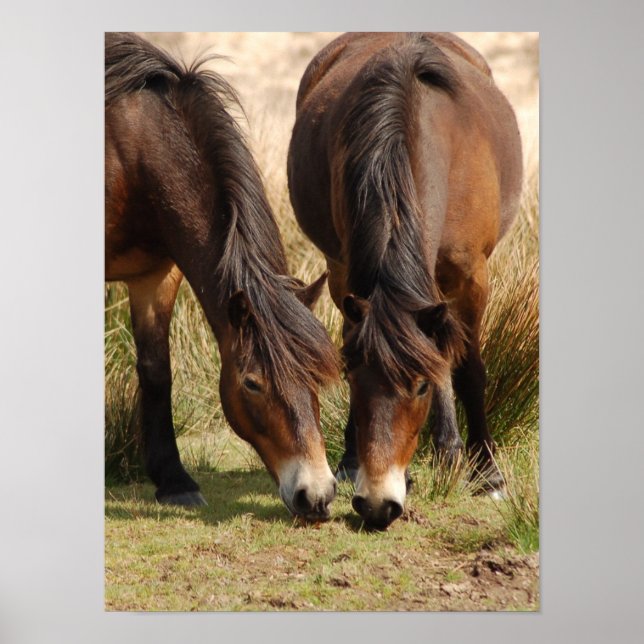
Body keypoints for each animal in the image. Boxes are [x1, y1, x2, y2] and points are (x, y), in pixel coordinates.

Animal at [105, 33, 340, 521]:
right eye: (252, 383)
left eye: (317, 375)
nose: (316, 496)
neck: (129, 150)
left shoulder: (157, 276)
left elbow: (156, 372)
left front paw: (173, 481)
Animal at [287, 32, 523, 529]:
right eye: (353, 379)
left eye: (417, 388)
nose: (378, 505)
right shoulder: (348, 273)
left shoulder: (472, 280)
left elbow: (468, 370)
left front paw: (487, 473)